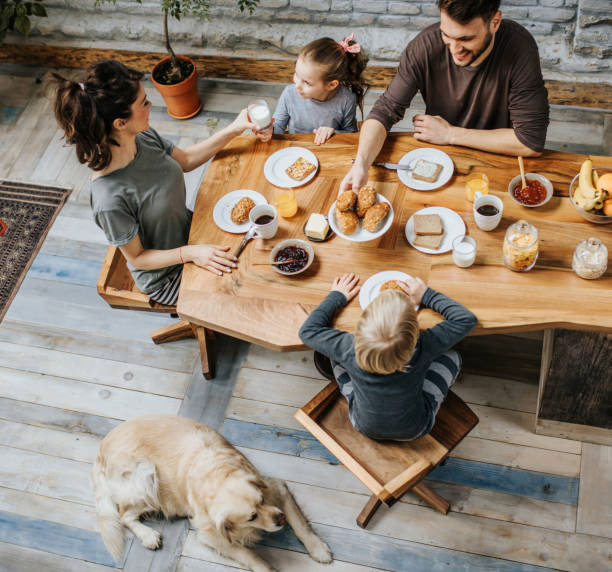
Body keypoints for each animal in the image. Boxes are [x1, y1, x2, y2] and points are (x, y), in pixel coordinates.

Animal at [91, 416, 332, 572]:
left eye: (262, 501)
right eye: (252, 517)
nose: (280, 518)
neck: (217, 475)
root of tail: (101, 448)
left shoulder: (275, 488)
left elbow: (300, 525)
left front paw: (318, 548)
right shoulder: (211, 534)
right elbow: (248, 554)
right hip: (146, 475)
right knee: (123, 514)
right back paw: (148, 535)